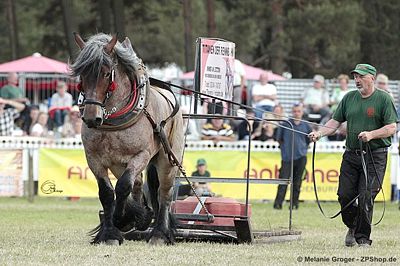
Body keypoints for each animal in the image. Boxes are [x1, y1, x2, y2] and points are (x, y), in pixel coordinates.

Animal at [70, 32, 184, 244]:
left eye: (106, 74)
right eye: (82, 74)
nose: (91, 117)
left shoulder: (141, 155)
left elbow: (123, 186)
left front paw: (120, 219)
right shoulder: (94, 158)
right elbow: (107, 193)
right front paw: (110, 232)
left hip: (168, 159)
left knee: (163, 193)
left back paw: (159, 233)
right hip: (120, 164)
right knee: (137, 185)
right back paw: (140, 216)